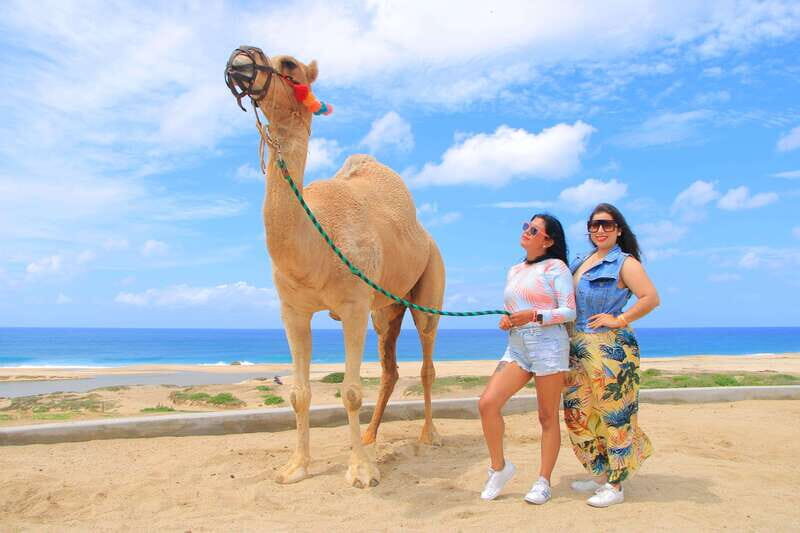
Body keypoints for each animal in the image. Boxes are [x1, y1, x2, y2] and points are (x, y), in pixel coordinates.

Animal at [225, 47, 446, 488]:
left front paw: (361, 471)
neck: (316, 248)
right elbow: (299, 393)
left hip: (429, 282)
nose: (240, 59)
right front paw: (296, 467)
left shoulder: (353, 306)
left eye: (289, 64)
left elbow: (351, 392)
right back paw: (371, 435)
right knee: (390, 369)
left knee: (427, 361)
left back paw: (428, 436)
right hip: (386, 308)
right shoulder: (292, 310)